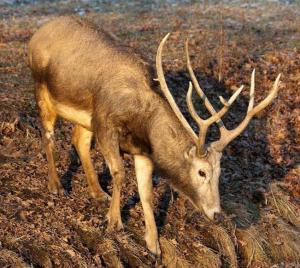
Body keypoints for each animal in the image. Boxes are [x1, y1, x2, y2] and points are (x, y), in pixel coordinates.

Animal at [28, 16, 282, 258]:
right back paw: (56, 185)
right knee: (48, 135)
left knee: (78, 140)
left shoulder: (143, 151)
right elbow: (119, 173)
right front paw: (114, 222)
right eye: (201, 172)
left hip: (84, 117)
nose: (217, 214)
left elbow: (146, 192)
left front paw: (153, 245)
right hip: (42, 89)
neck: (142, 120)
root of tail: (37, 34)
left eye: (221, 172)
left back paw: (98, 192)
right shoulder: (105, 123)